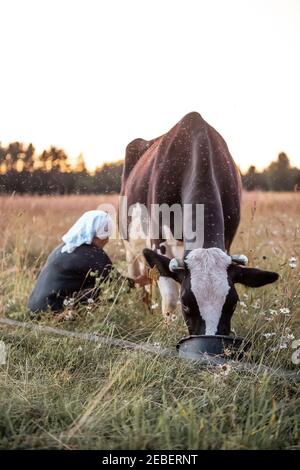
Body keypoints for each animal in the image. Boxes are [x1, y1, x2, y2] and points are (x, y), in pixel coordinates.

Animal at [119, 112, 278, 336]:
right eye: (187, 305)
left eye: (232, 304)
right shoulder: (157, 239)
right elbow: (170, 298)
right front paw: (168, 330)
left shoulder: (227, 239)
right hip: (130, 248)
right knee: (142, 283)